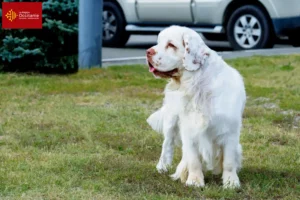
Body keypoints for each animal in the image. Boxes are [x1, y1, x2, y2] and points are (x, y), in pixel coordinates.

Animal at [145, 25, 246, 188]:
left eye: (171, 45)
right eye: (158, 42)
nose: (148, 52)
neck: (197, 84)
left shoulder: (229, 130)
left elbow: (229, 161)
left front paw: (231, 182)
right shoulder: (189, 128)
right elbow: (193, 159)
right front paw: (194, 181)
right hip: (171, 119)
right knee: (167, 144)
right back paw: (163, 167)